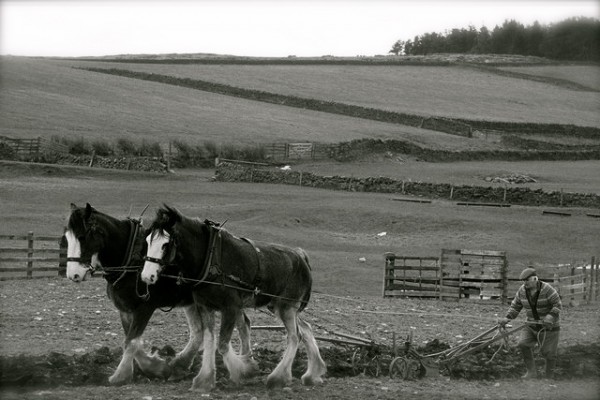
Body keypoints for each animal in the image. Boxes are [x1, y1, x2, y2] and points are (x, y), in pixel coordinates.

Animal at [65, 203, 253, 384]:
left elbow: (131, 342)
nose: (73, 274)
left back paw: (245, 364)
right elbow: (132, 341)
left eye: (82, 237)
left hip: (226, 301)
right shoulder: (125, 310)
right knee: (200, 331)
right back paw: (182, 365)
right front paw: (155, 367)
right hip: (196, 303)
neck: (131, 259)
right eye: (66, 238)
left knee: (242, 324)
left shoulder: (145, 307)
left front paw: (120, 376)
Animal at [142, 205, 328, 392]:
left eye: (165, 244)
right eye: (148, 241)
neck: (212, 259)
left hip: (287, 307)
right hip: (279, 306)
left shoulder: (231, 307)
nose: (146, 276)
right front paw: (205, 380)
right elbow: (210, 340)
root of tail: (301, 256)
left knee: (294, 336)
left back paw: (278, 378)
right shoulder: (205, 306)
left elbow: (223, 345)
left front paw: (244, 371)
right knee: (306, 329)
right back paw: (312, 374)